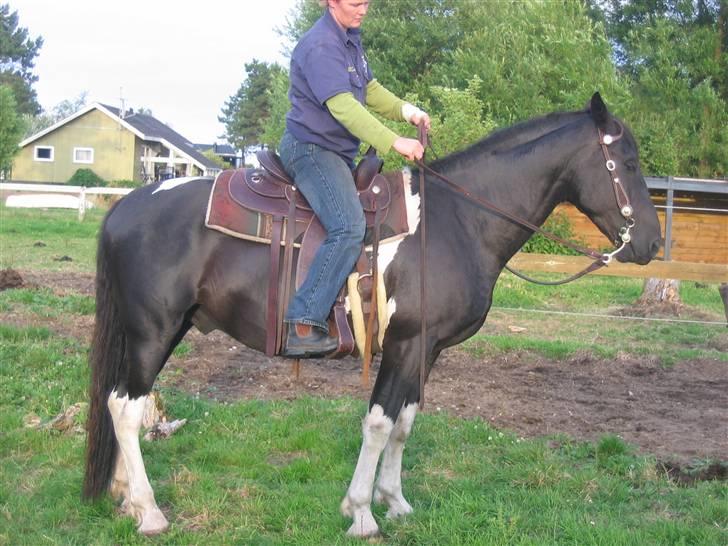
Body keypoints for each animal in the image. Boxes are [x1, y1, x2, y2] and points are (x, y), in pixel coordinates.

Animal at [82, 93, 664, 536]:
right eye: (629, 163)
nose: (653, 244)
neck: (457, 220)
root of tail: (127, 204)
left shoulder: (425, 349)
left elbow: (405, 422)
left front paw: (395, 500)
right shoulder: (404, 343)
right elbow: (380, 422)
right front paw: (361, 512)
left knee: (119, 402)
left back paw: (123, 494)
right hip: (153, 331)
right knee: (125, 408)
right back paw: (149, 511)